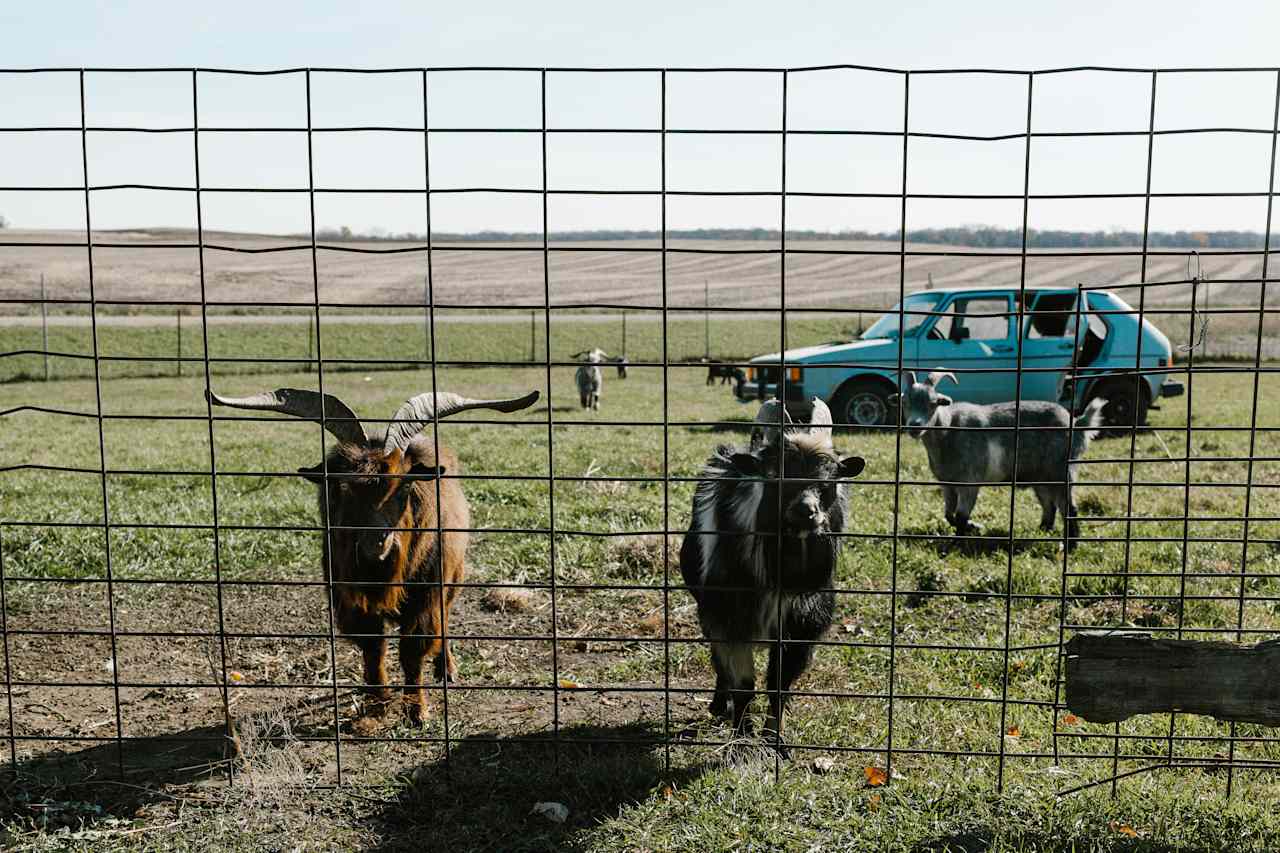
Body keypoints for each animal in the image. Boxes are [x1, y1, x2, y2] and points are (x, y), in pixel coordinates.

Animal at [207, 389, 537, 722]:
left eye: (404, 487)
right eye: (343, 489)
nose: (377, 541)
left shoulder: (426, 593)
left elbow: (413, 650)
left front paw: (417, 710)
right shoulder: (349, 597)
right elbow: (372, 647)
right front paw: (378, 699)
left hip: (454, 578)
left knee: (444, 620)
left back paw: (447, 669)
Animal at [896, 371, 1105, 545]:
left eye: (933, 403)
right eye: (905, 403)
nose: (914, 426)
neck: (949, 430)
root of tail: (1076, 425)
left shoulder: (970, 483)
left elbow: (961, 515)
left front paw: (959, 541)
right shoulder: (947, 484)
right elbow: (949, 514)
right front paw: (974, 527)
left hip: (1060, 472)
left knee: (1069, 508)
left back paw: (1071, 545)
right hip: (1041, 477)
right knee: (1049, 505)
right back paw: (1042, 530)